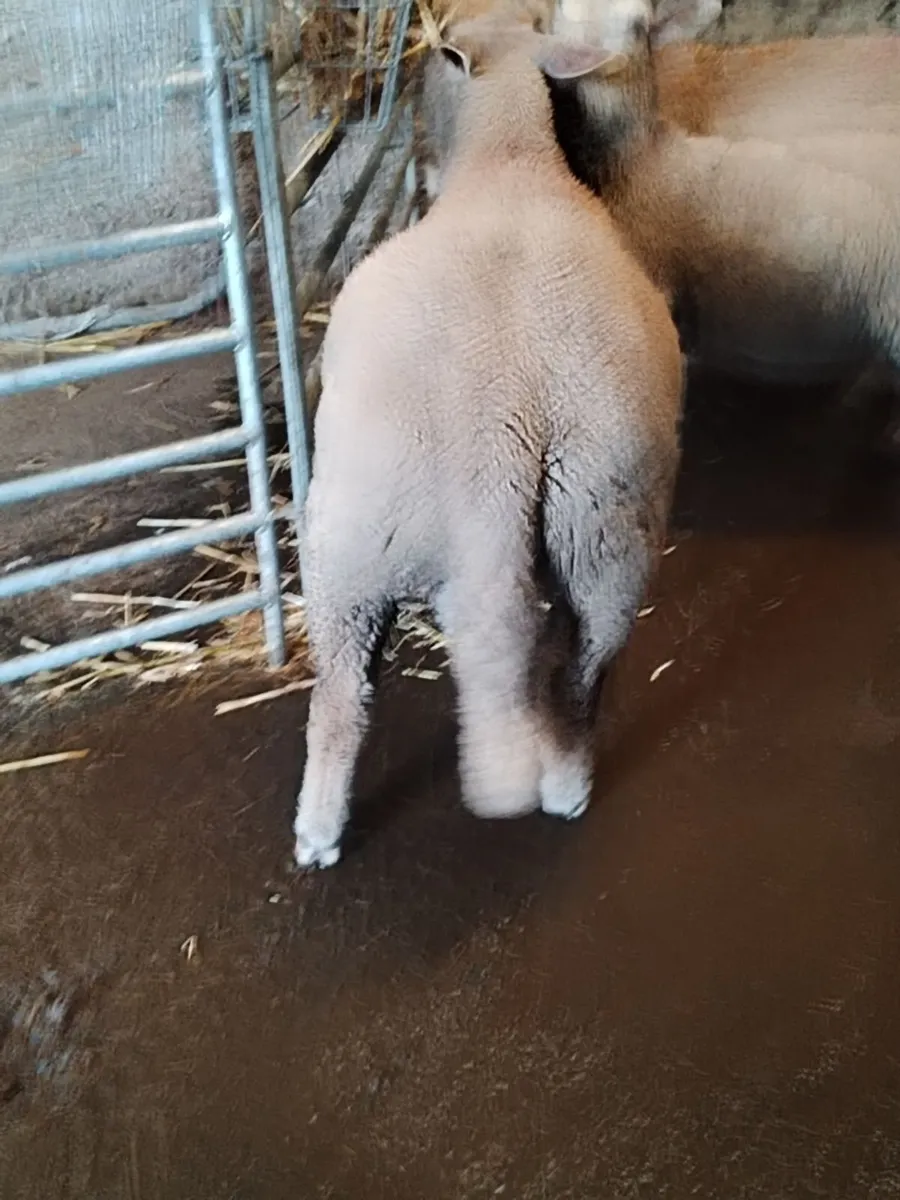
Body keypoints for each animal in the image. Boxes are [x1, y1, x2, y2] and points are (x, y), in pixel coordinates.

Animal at [293, 18, 683, 869]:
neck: (509, 162)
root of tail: (496, 442)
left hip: (351, 543)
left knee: (340, 698)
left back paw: (316, 833)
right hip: (603, 527)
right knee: (583, 672)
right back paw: (566, 789)